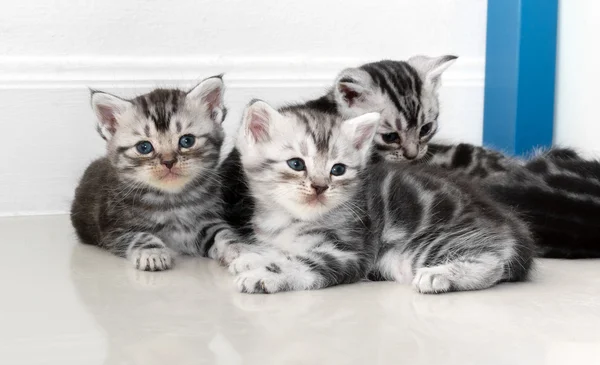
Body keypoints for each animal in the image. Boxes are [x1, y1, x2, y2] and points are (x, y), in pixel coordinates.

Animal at [229, 101, 536, 292]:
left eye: (337, 170)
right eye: (296, 164)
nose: (319, 186)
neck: (289, 218)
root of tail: (512, 226)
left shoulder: (348, 251)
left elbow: (302, 263)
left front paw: (263, 274)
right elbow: (281, 250)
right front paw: (253, 257)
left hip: (420, 244)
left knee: (494, 263)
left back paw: (441, 275)